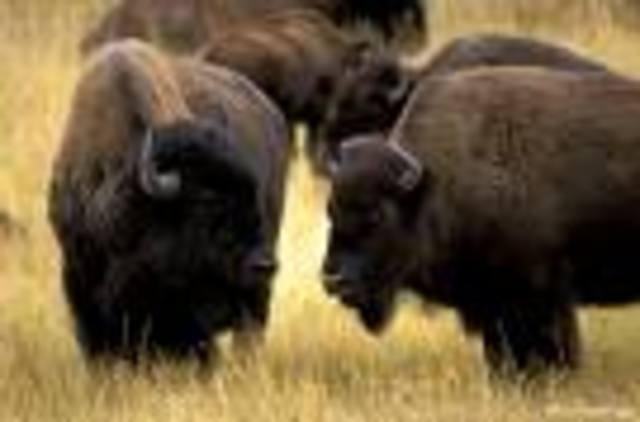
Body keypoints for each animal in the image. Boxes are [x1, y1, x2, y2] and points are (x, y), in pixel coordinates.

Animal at [49, 39, 290, 363]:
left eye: (252, 194)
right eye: (207, 199)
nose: (263, 264)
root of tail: (272, 112)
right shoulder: (81, 283)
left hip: (255, 296)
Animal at [323, 67, 640, 378]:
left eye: (376, 214)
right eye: (330, 210)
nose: (333, 279)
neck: (433, 186)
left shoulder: (539, 293)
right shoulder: (491, 302)